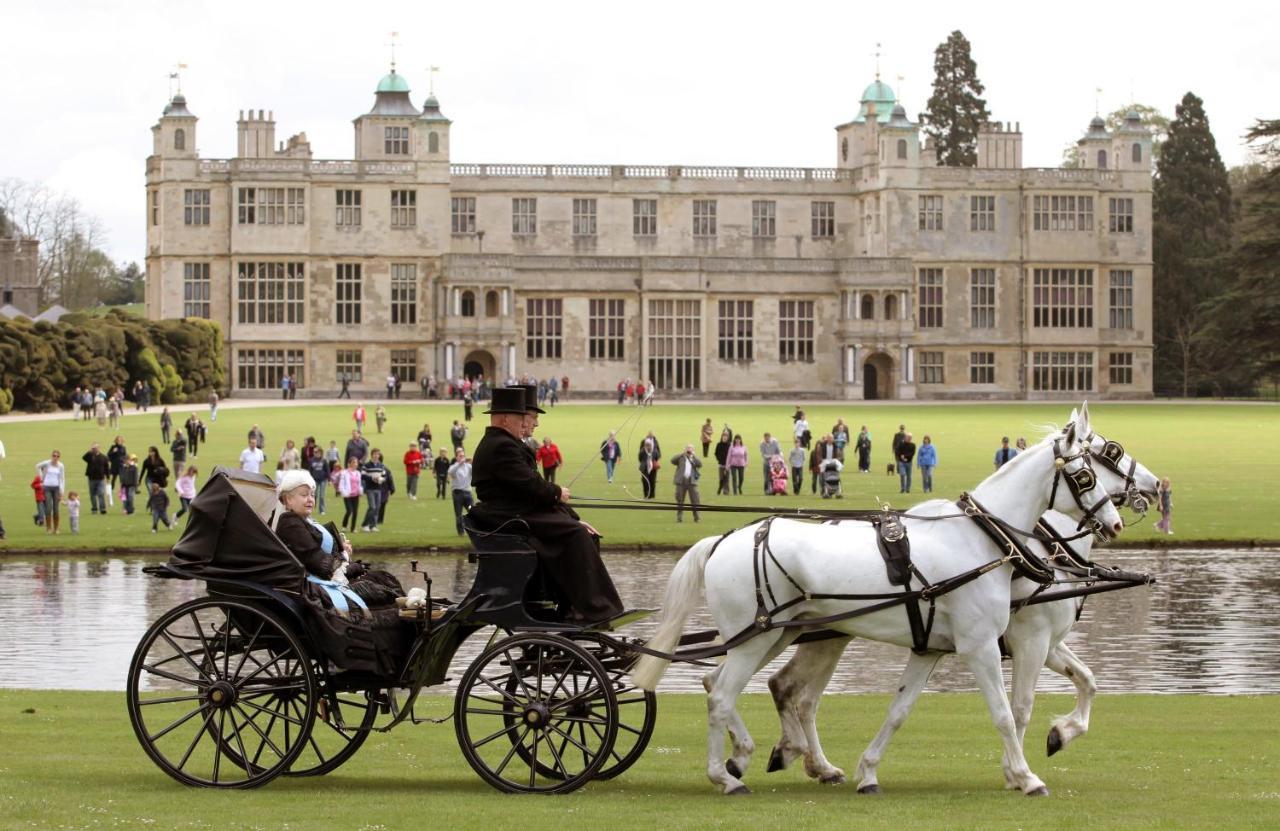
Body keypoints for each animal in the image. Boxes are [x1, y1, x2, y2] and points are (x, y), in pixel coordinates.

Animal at [634, 404, 1126, 793]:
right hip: (757, 638)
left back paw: (757, 757)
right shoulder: (984, 645)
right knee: (722, 695)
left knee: (729, 684)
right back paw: (726, 775)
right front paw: (1025, 776)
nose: (1117, 522)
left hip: (777, 635)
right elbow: (1007, 712)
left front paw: (868, 771)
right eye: (1087, 474)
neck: (983, 540)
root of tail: (723, 538)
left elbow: (899, 710)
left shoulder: (931, 648)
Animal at [762, 427, 1167, 788]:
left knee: (793, 690)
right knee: (794, 692)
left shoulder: (1043, 642)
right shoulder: (1029, 640)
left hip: (827, 636)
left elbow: (1087, 679)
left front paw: (1059, 735)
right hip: (818, 635)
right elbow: (1019, 708)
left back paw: (808, 760)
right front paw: (1018, 770)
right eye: (1110, 453)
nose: (1156, 486)